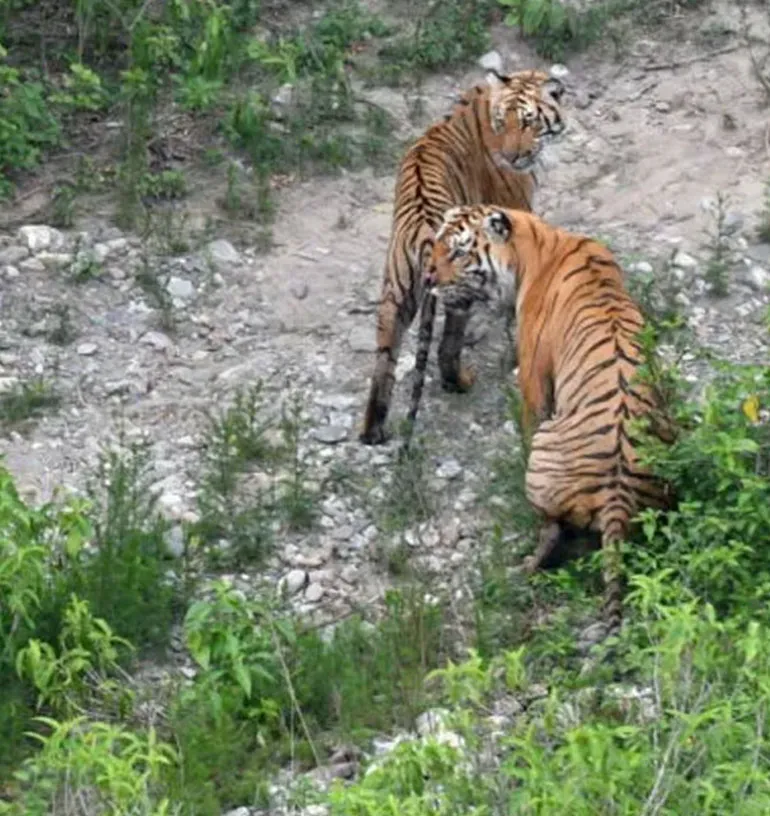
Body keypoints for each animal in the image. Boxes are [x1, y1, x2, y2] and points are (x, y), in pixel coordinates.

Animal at [359, 68, 566, 446]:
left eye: (528, 121)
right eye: (504, 123)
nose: (512, 157)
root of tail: (424, 230)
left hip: (395, 291)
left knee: (384, 361)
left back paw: (373, 431)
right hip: (457, 289)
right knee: (447, 346)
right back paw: (459, 381)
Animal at [424, 204, 676, 635]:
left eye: (457, 252)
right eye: (438, 244)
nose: (427, 280)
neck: (537, 244)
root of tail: (619, 498)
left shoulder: (533, 380)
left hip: (544, 456)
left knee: (551, 529)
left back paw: (525, 564)